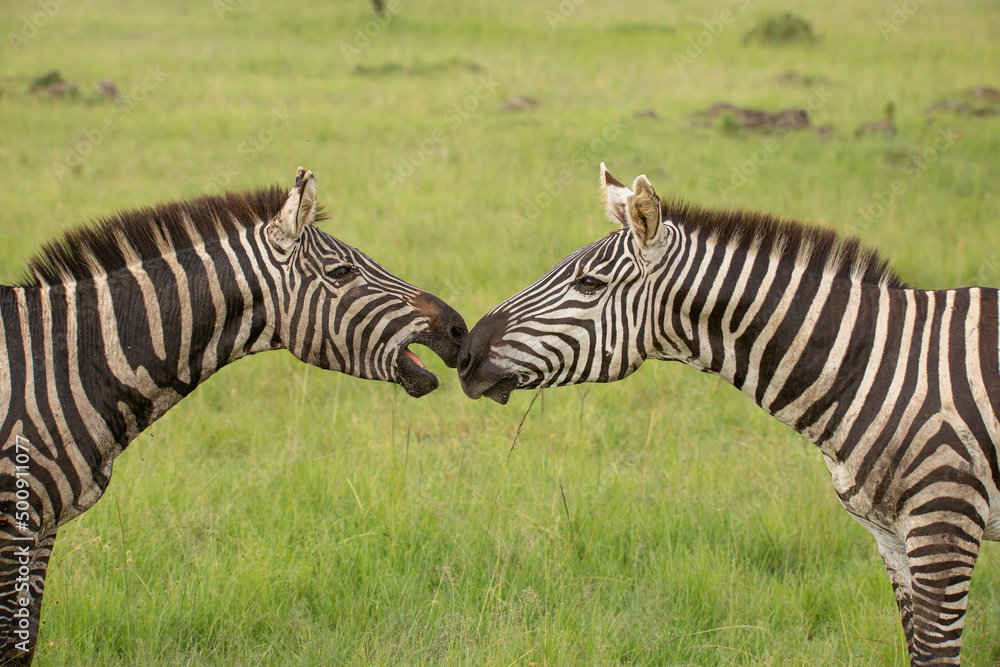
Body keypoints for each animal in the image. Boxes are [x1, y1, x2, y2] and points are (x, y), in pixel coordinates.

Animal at [0, 167, 467, 665]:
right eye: (342, 272)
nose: (459, 328)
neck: (64, 364)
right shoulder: (14, 523)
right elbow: (11, 644)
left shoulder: (44, 528)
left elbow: (23, 645)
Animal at [457, 163, 1000, 666]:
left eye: (589, 283)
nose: (464, 353)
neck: (872, 366)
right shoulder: (890, 536)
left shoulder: (944, 525)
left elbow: (934, 653)